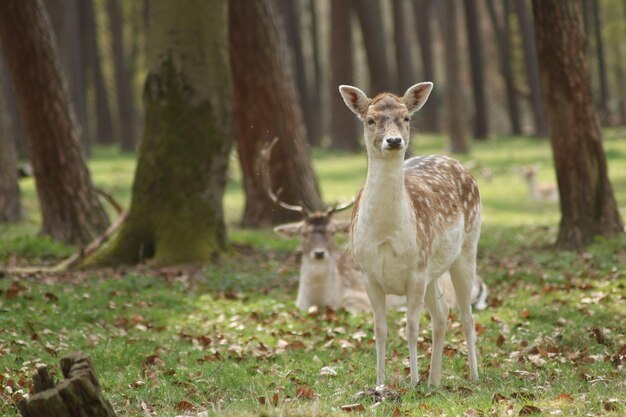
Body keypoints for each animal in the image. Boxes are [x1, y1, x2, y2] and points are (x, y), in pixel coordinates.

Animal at [338, 82, 480, 386]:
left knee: (466, 315)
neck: (385, 235)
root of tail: (458, 164)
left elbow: (412, 328)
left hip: (467, 247)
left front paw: (413, 381)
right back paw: (434, 380)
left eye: (406, 117)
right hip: (433, 271)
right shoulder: (368, 274)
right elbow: (380, 329)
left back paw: (473, 376)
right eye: (370, 119)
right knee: (442, 313)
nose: (393, 141)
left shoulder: (416, 271)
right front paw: (380, 382)